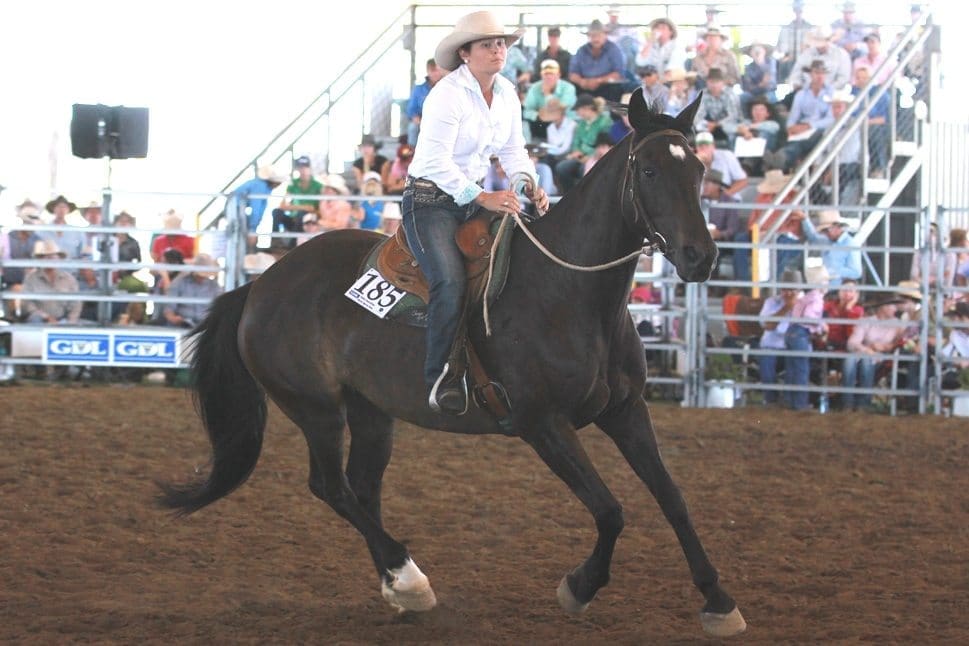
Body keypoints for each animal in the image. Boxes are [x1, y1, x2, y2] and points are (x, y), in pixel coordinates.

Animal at [159, 88, 746, 638]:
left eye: (698, 170)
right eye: (648, 170)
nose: (700, 257)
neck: (566, 290)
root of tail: (260, 285)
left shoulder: (626, 411)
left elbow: (672, 498)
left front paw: (719, 601)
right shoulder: (543, 426)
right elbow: (610, 510)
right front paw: (580, 586)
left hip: (371, 411)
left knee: (362, 488)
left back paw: (397, 587)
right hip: (315, 409)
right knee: (331, 487)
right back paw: (411, 579)